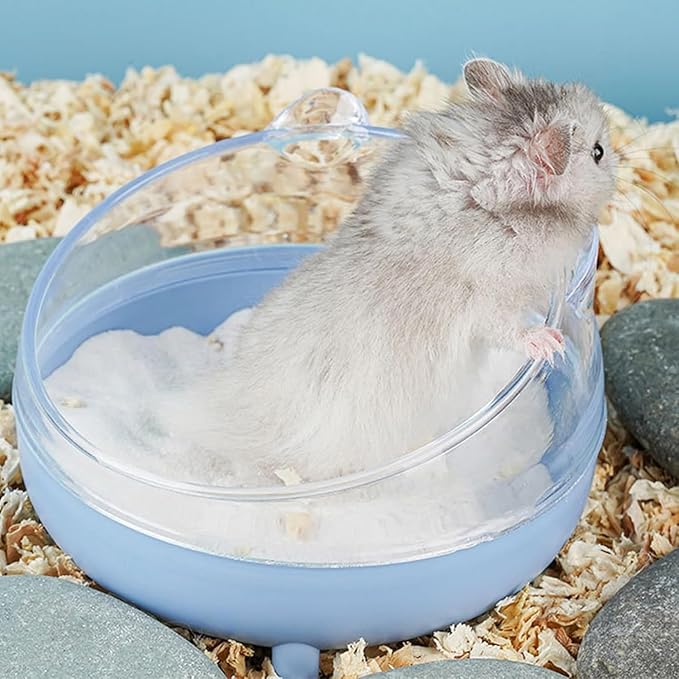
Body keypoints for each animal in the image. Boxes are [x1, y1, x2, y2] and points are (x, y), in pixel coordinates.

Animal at [172, 59, 617, 485]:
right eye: (597, 151)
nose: (621, 163)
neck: (485, 190)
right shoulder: (490, 298)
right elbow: (511, 329)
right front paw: (551, 342)